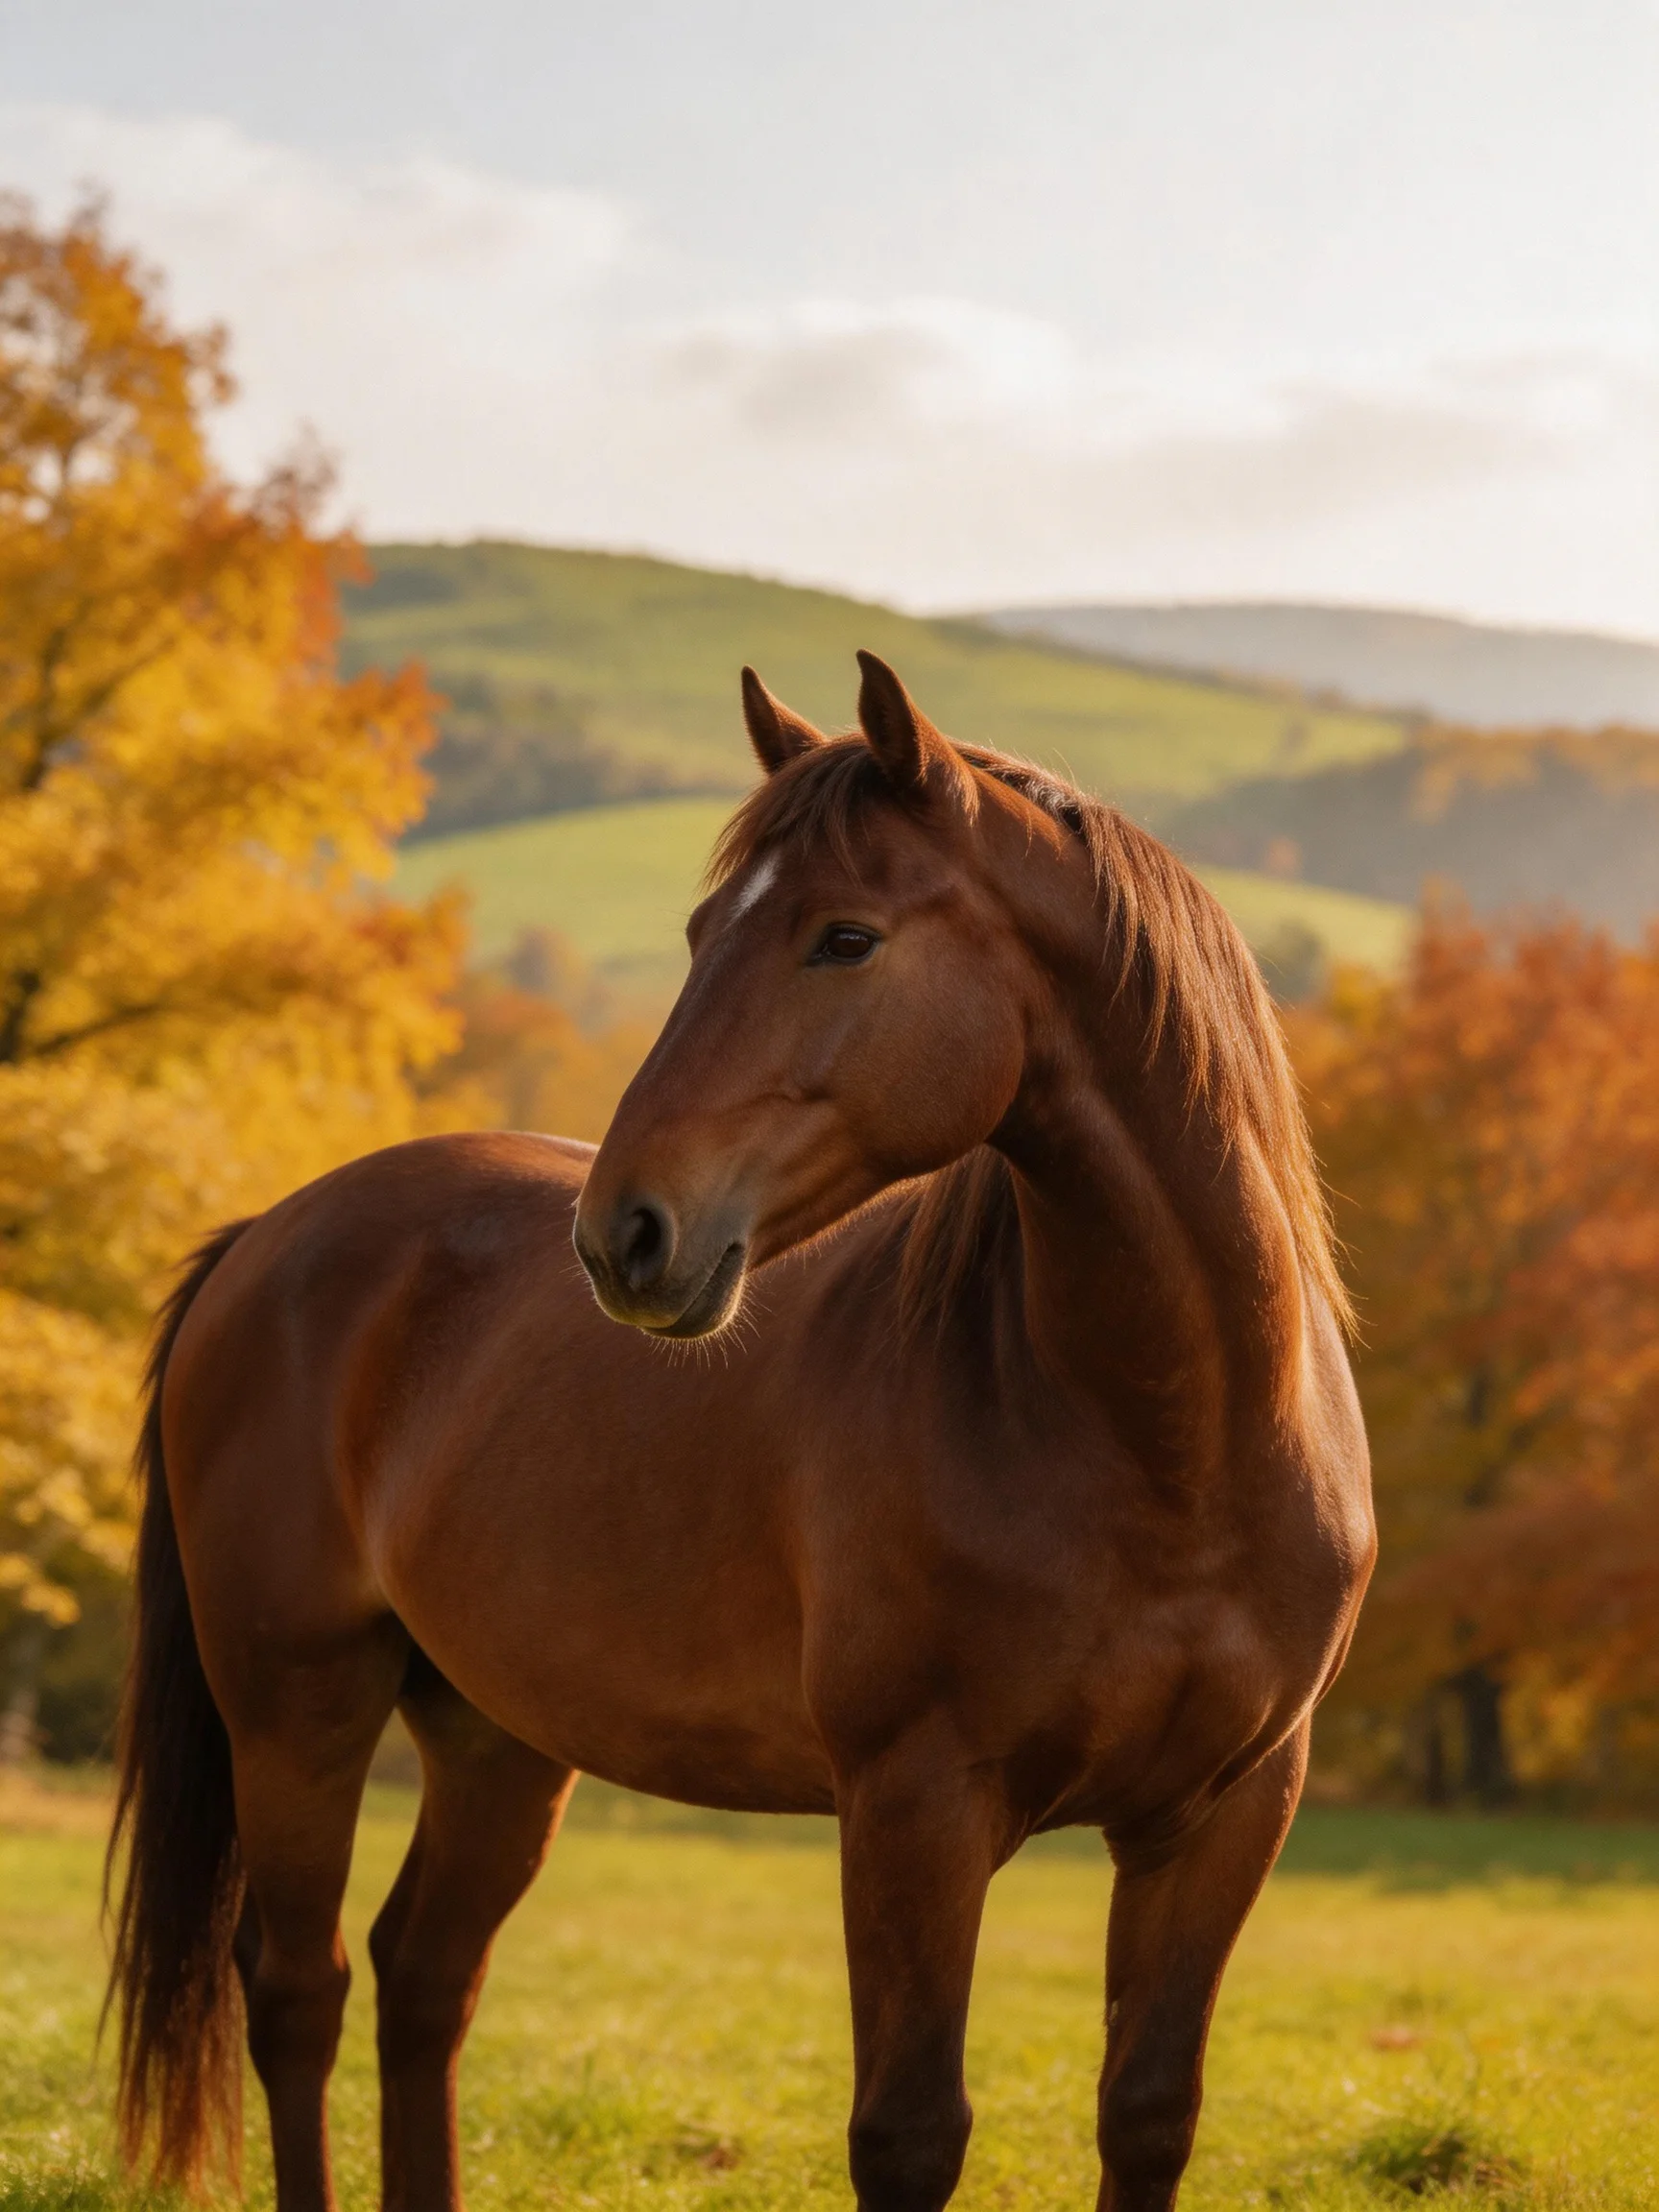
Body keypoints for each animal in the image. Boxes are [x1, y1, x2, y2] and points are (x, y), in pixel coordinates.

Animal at [108, 650, 1373, 2212]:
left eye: (845, 938)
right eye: (707, 929)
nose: (625, 1234)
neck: (1170, 1445)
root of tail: (264, 1238)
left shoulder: (1226, 1815)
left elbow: (1147, 2114)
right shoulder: (915, 1809)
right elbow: (908, 2136)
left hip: (495, 1733)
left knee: (425, 1977)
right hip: (298, 1707)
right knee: (299, 1990)